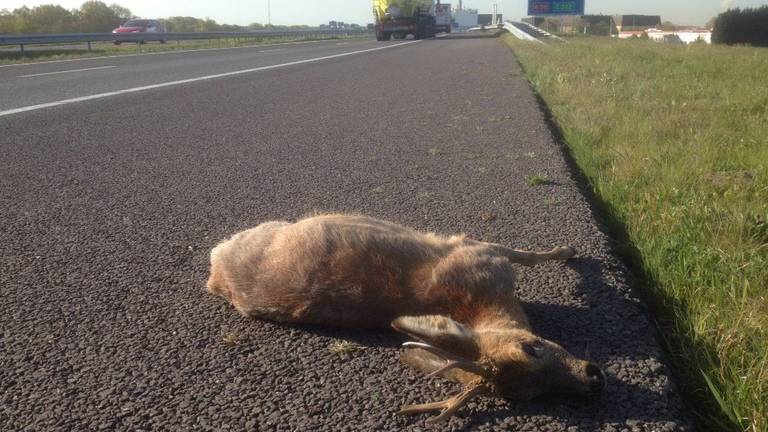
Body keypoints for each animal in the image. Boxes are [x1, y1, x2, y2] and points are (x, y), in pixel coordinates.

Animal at [206, 213, 608, 422]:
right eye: (530, 347)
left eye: (533, 395)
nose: (594, 378)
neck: (481, 306)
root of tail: (215, 269)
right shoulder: (477, 250)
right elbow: (529, 255)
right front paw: (569, 250)